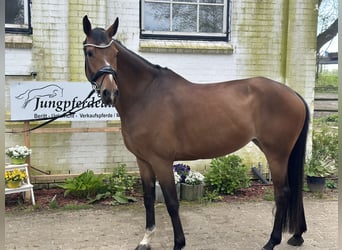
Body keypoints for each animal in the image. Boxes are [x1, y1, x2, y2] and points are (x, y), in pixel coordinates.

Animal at [82, 16, 310, 250]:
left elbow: (172, 203)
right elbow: (148, 199)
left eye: (115, 54)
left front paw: (179, 243)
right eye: (89, 53)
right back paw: (296, 235)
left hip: (277, 154)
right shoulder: (143, 161)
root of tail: (293, 94)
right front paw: (146, 240)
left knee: (282, 193)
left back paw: (272, 241)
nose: (110, 92)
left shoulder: (161, 161)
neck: (146, 95)